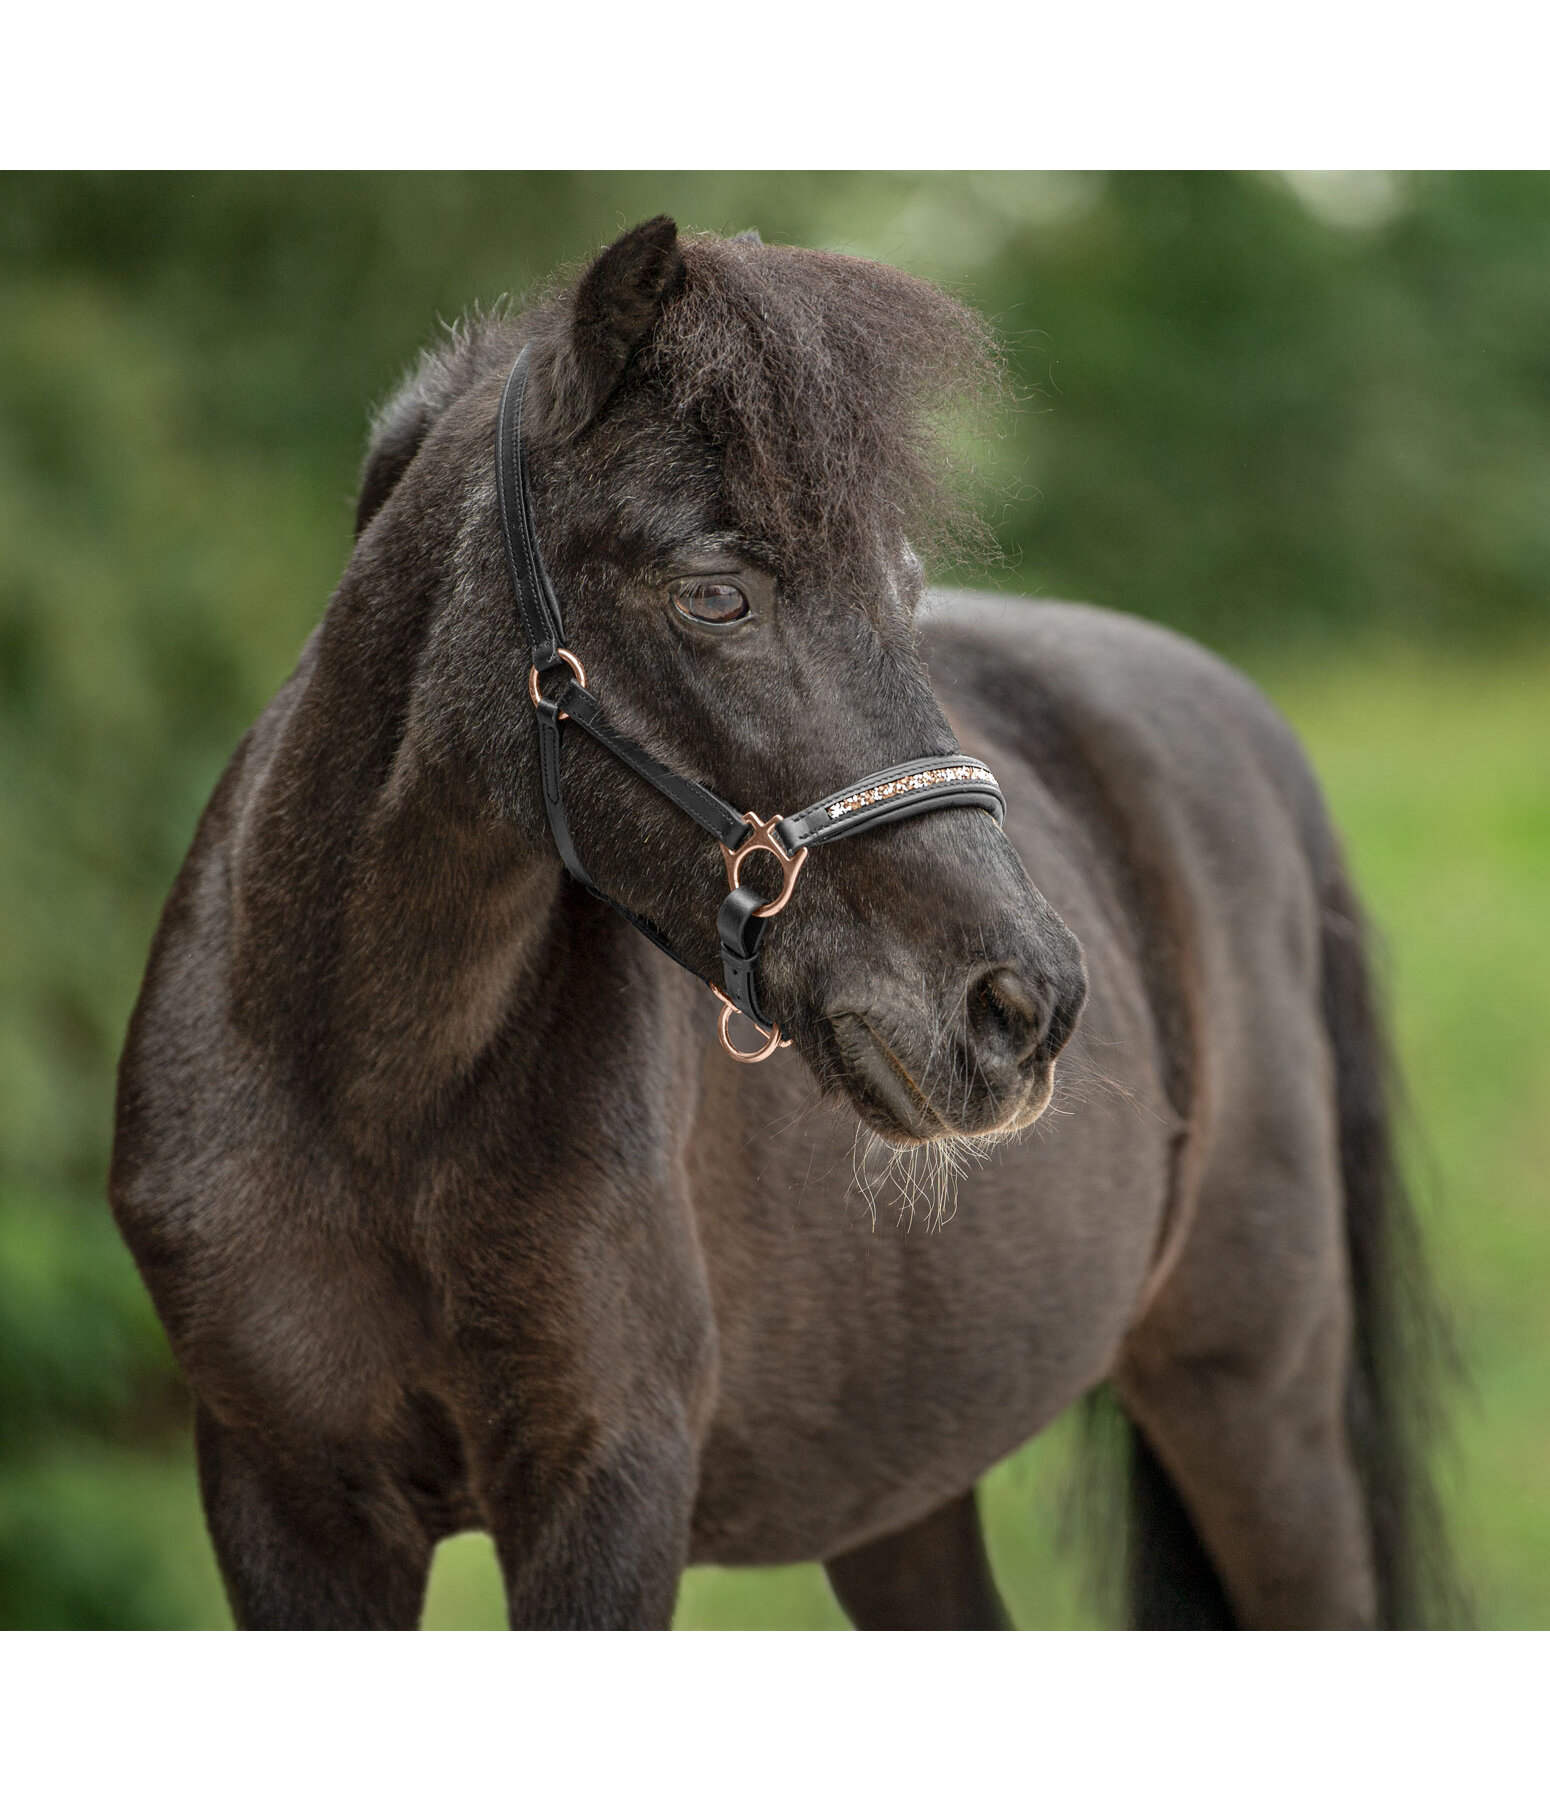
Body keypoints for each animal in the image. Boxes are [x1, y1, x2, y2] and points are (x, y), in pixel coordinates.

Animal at [108, 217, 1454, 1627]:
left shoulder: (609, 1493)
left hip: (1255, 1407)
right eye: (714, 594)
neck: (374, 1099)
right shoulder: (286, 1501)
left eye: (903, 590)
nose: (1023, 1003)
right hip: (905, 1489)